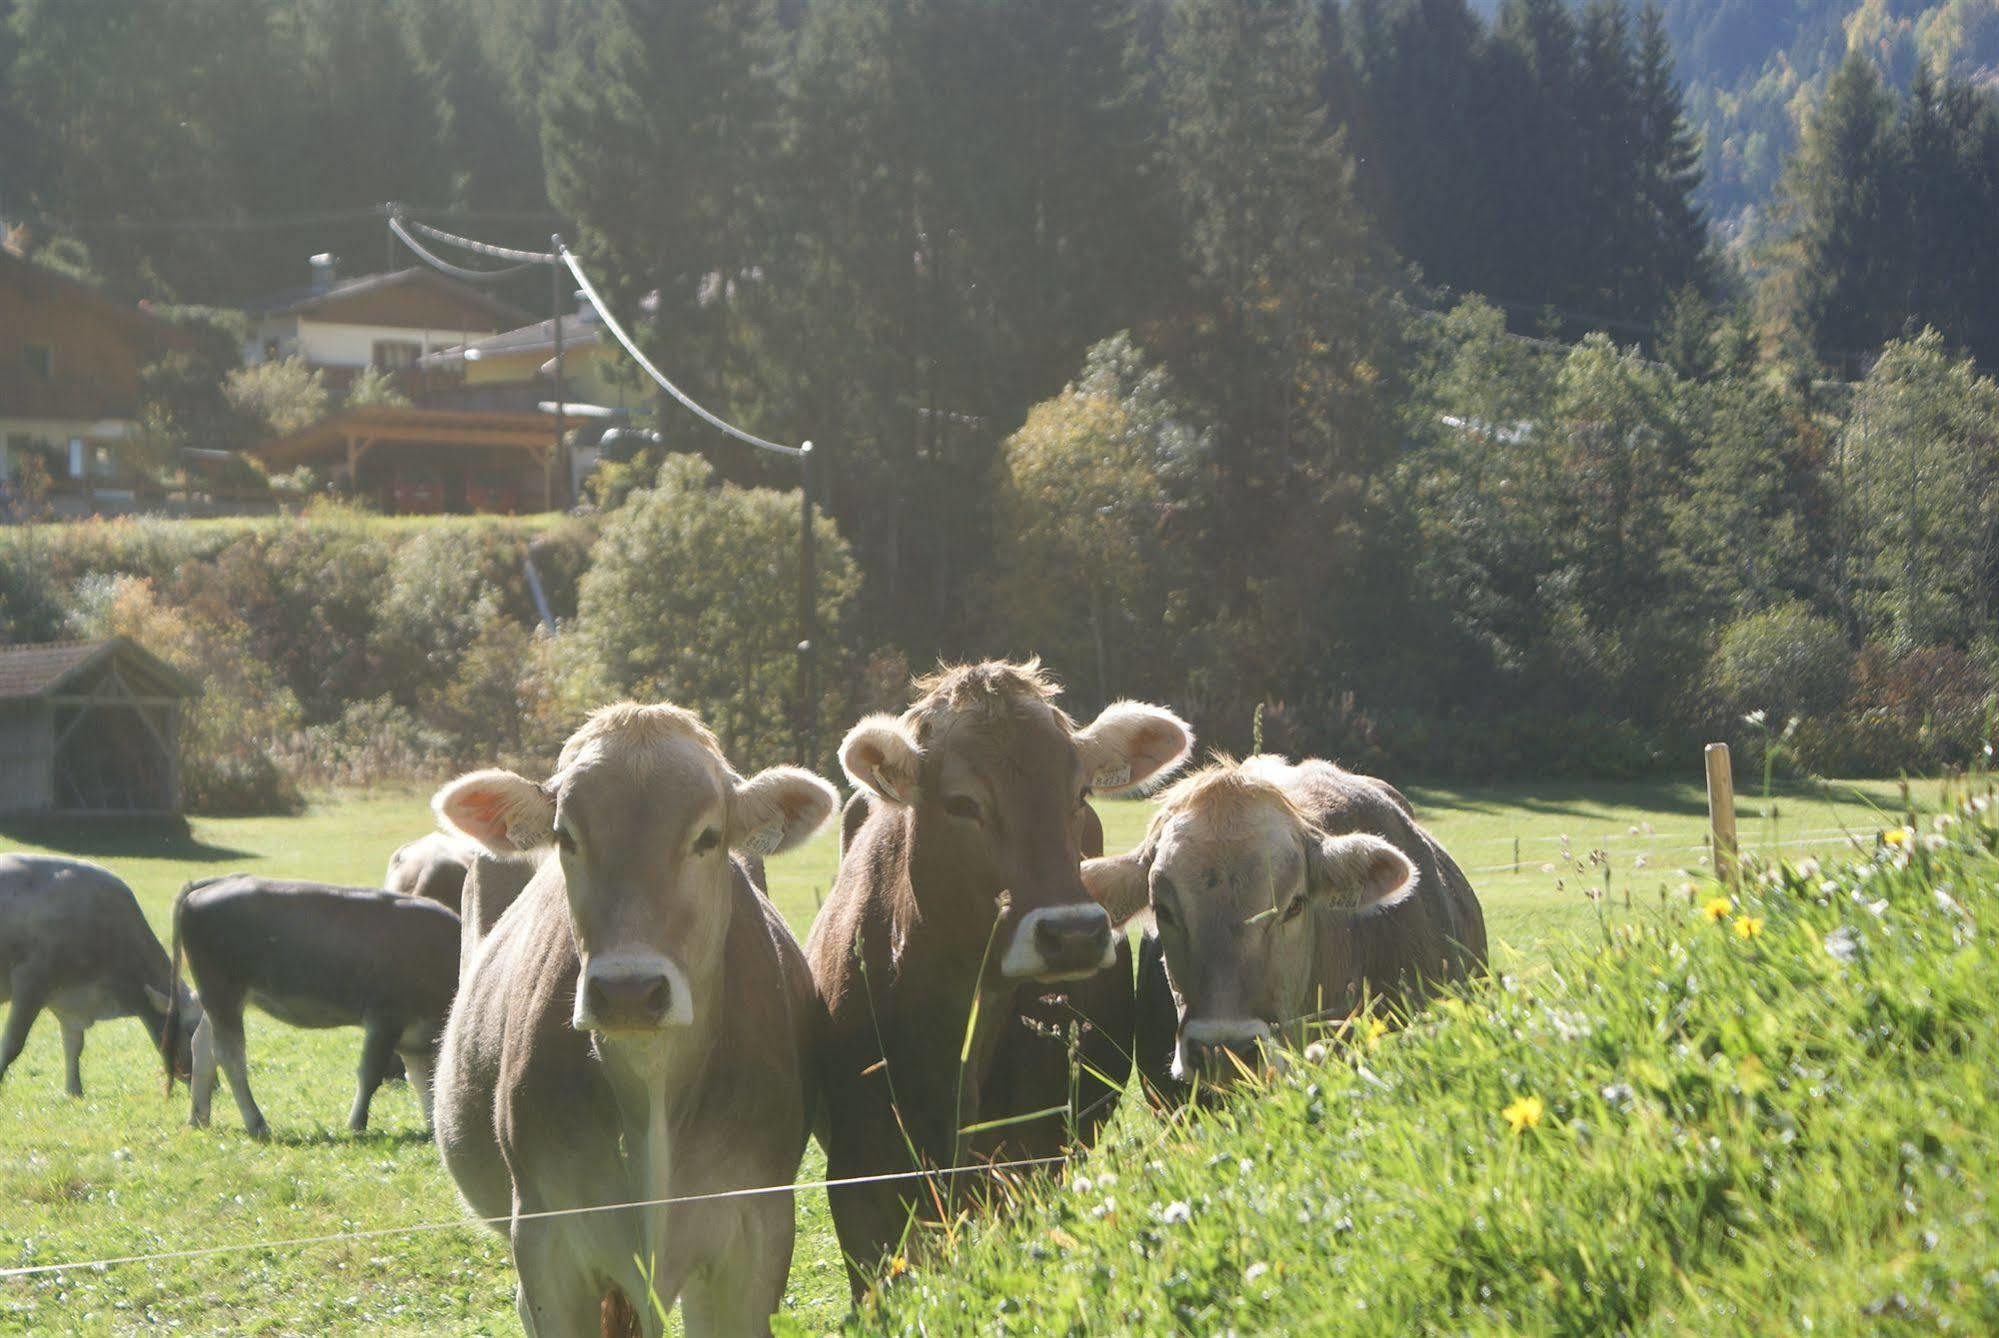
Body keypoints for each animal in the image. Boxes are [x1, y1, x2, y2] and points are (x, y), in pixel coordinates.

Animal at [0, 856, 200, 1096]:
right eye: (190, 1029)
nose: (215, 1085)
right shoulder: (30, 982)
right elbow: (12, 1044)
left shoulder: (67, 1000)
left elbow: (74, 1045)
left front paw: (74, 1091)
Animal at [166, 876, 459, 1136]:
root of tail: (211, 885)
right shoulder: (385, 1018)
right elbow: (370, 1074)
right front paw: (356, 1124)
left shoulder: (414, 1036)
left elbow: (425, 1080)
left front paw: (435, 1126)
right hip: (223, 994)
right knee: (230, 1056)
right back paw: (256, 1123)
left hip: (218, 1003)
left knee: (202, 1046)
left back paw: (198, 1118)